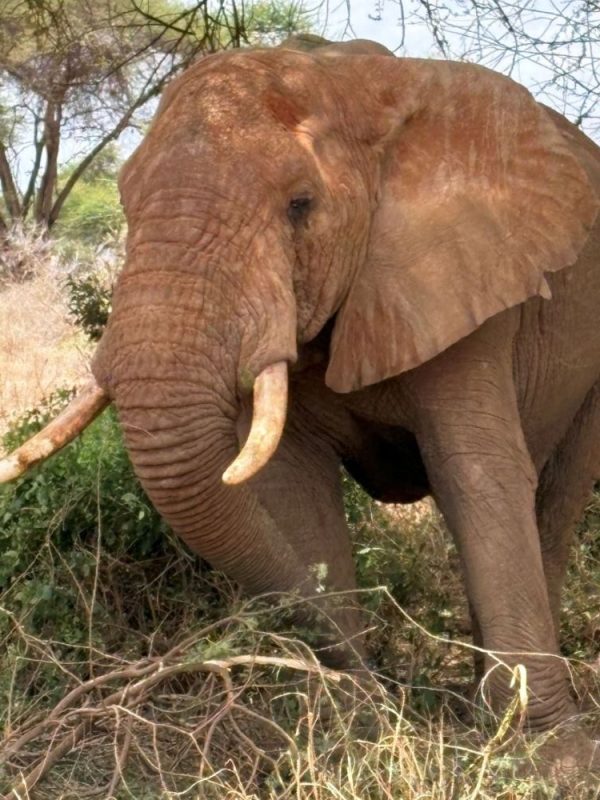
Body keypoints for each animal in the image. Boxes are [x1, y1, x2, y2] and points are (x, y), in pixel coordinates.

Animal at [1, 36, 599, 774]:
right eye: (127, 203)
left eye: (300, 205)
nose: (386, 690)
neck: (343, 84)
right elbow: (295, 490)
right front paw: (350, 717)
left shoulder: (467, 277)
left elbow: (477, 476)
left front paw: (546, 755)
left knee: (560, 494)